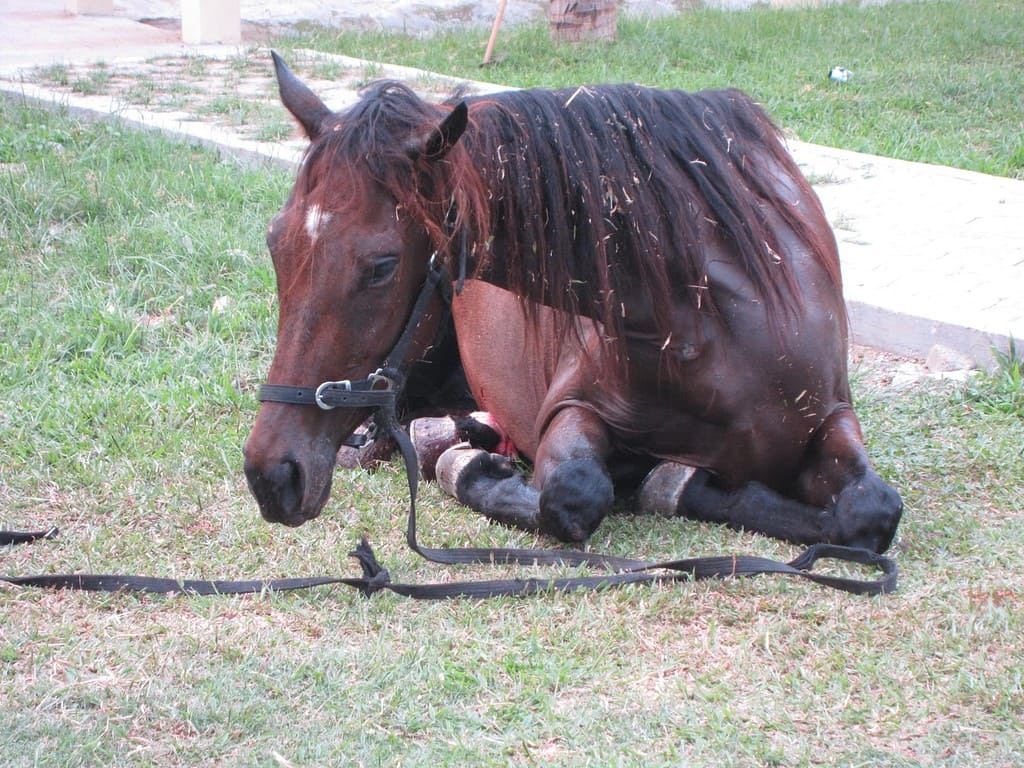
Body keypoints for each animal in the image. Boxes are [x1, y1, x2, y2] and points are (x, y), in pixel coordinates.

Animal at [243, 53, 903, 553]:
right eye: (275, 241)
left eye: (381, 265)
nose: (270, 474)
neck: (711, 320)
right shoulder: (569, 408)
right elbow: (573, 495)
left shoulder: (831, 415)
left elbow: (872, 511)